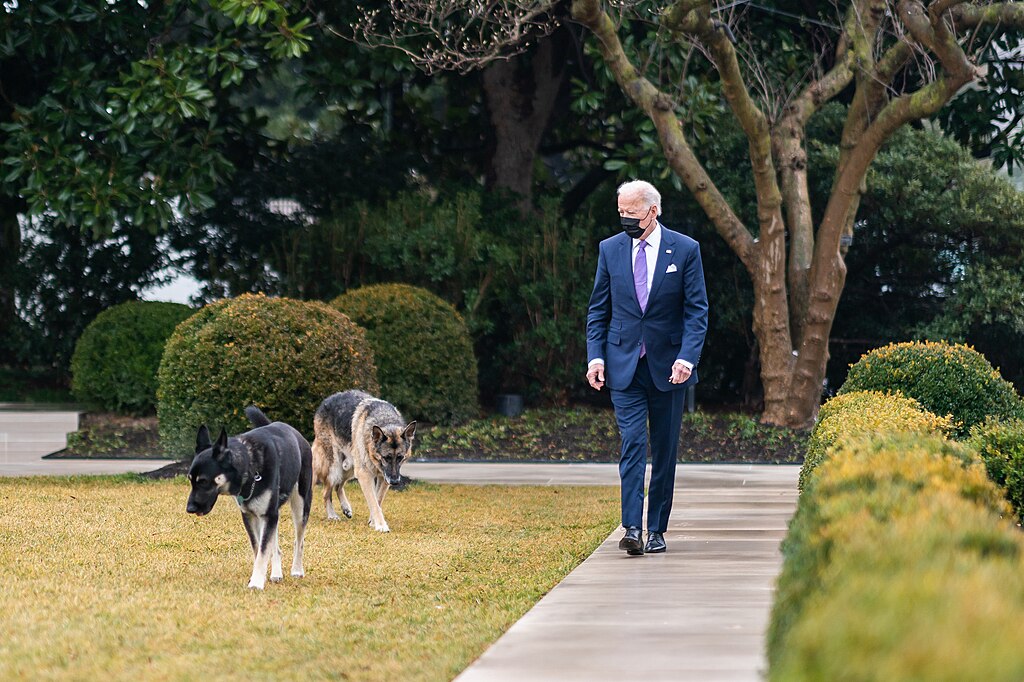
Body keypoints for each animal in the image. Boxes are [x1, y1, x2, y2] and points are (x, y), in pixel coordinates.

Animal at [184, 405, 311, 585]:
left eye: (203, 481)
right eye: (190, 480)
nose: (189, 509)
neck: (249, 466)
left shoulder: (268, 515)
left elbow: (263, 551)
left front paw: (256, 583)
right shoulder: (252, 516)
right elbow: (258, 548)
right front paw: (258, 577)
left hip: (300, 506)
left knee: (299, 541)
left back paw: (297, 570)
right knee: (276, 546)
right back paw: (276, 573)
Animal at [311, 387, 415, 532]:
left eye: (400, 457)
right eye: (386, 457)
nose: (395, 482)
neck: (385, 420)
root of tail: (325, 401)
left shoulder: (383, 478)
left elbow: (378, 500)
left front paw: (373, 521)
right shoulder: (365, 475)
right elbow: (373, 501)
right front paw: (381, 525)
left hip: (350, 468)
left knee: (338, 486)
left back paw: (346, 508)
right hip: (335, 468)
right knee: (326, 492)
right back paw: (332, 515)